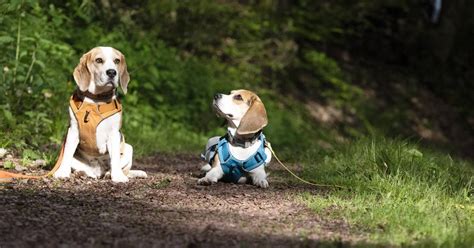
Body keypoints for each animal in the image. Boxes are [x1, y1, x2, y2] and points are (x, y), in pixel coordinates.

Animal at [52, 46, 147, 182]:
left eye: (117, 61)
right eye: (99, 60)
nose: (112, 72)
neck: (96, 100)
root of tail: (97, 171)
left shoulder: (114, 134)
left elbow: (115, 159)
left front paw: (118, 177)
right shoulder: (73, 131)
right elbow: (67, 154)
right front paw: (62, 172)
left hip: (129, 148)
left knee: (121, 169)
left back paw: (109, 174)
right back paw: (81, 173)